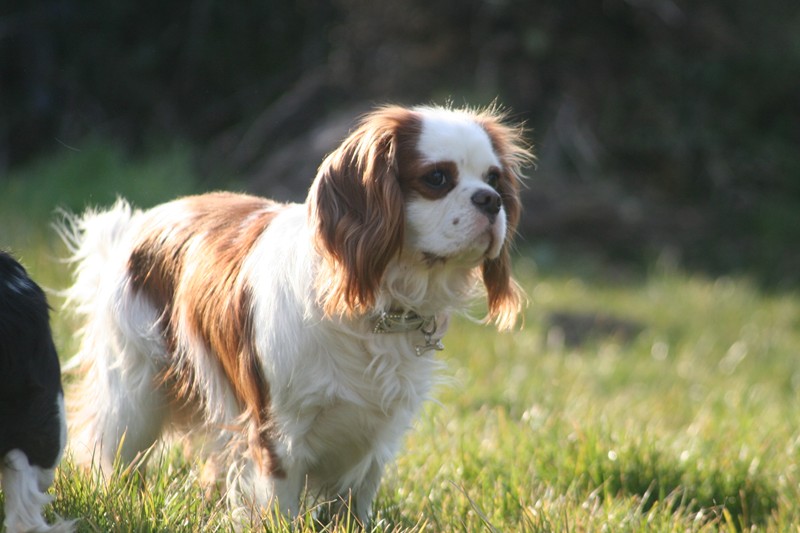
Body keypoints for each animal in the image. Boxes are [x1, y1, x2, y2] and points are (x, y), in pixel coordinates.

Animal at [59, 104, 528, 524]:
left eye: (494, 179)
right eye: (437, 178)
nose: (491, 201)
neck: (375, 307)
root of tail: (140, 222)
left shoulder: (375, 439)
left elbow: (355, 502)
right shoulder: (279, 434)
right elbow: (279, 504)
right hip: (134, 396)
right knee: (110, 453)